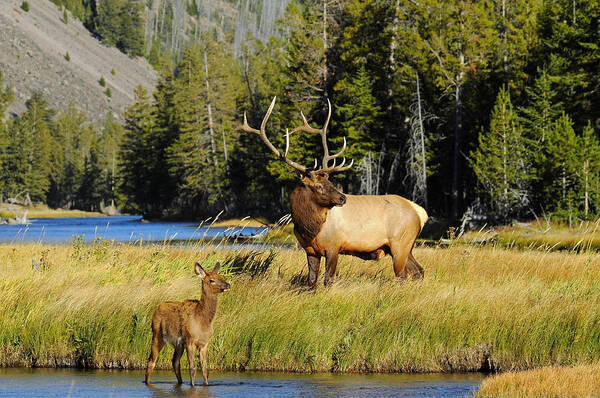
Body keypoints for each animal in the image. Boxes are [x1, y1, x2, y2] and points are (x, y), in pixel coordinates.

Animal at [234, 98, 426, 288]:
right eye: (319, 185)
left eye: (330, 182)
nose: (343, 198)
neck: (309, 228)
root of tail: (419, 212)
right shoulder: (310, 250)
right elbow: (311, 281)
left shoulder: (334, 246)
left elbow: (328, 280)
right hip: (405, 246)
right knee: (419, 271)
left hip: (400, 243)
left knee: (403, 275)